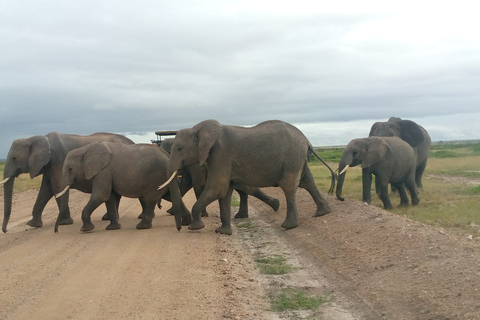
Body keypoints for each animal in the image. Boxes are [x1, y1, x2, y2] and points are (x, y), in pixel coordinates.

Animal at [1, 132, 135, 232]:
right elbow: (46, 190)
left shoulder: (57, 161)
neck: (35, 138)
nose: (5, 230)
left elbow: (55, 188)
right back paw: (107, 218)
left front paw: (64, 223)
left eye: (14, 158)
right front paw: (33, 224)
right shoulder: (48, 165)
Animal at [55, 142, 190, 232]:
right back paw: (186, 223)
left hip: (156, 176)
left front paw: (86, 229)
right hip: (163, 177)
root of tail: (168, 157)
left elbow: (101, 196)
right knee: (170, 196)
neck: (86, 149)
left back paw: (141, 226)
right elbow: (109, 198)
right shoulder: (106, 173)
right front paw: (112, 228)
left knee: (151, 198)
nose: (56, 231)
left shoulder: (103, 172)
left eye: (70, 169)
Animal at [159, 119, 336, 235]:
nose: (179, 228)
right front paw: (222, 232)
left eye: (179, 148)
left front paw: (195, 227)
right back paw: (322, 212)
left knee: (289, 187)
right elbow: (224, 192)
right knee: (307, 181)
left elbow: (216, 187)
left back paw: (289, 225)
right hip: (298, 158)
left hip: (292, 158)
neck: (197, 130)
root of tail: (306, 140)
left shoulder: (220, 154)